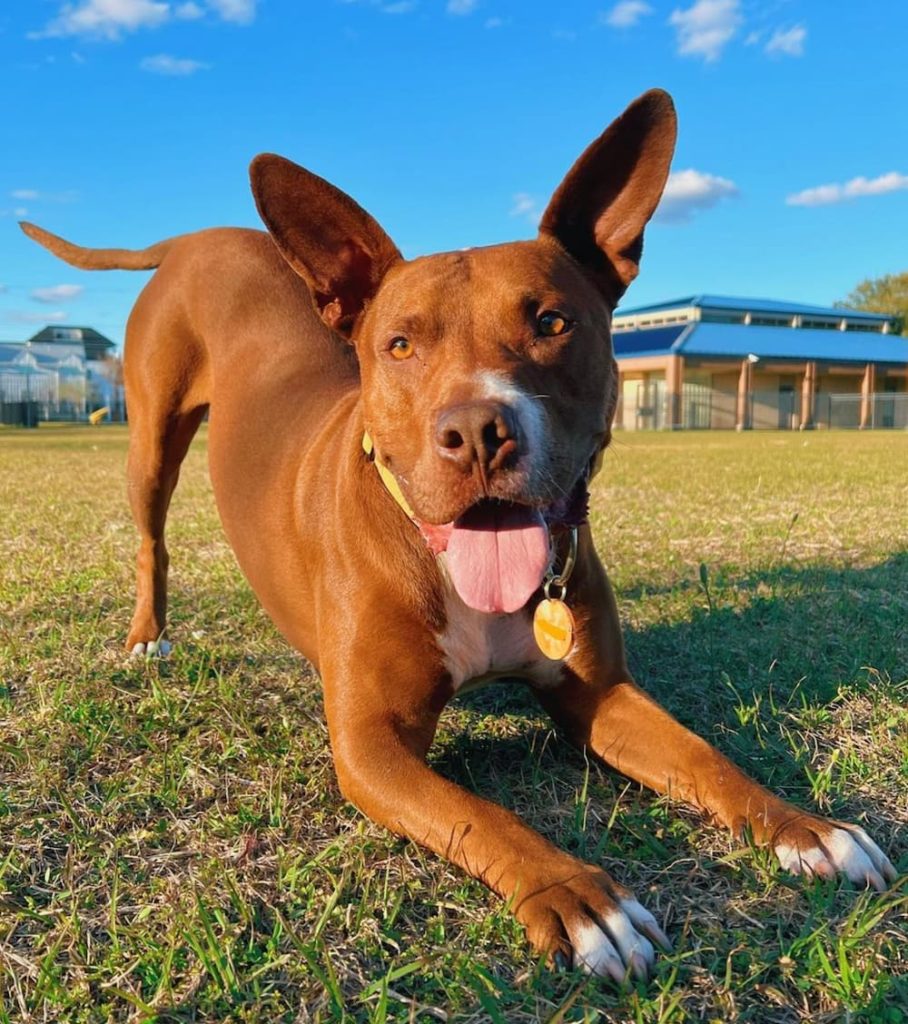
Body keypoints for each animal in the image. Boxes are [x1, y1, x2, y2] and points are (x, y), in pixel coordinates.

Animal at [21, 90, 896, 983]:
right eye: (400, 344)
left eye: (553, 321)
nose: (477, 430)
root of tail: (201, 237)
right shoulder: (372, 746)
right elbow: (485, 816)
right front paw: (582, 900)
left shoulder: (600, 695)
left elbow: (703, 756)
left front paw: (806, 828)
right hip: (151, 436)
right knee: (150, 539)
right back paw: (146, 638)